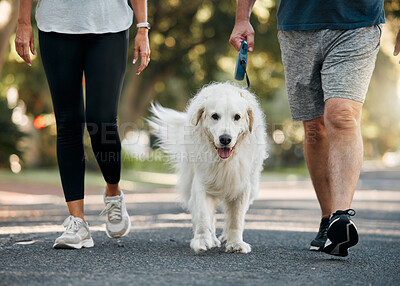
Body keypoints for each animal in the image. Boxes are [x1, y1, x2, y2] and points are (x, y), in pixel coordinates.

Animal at [148, 82, 268, 252]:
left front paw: (236, 243)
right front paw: (203, 240)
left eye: (237, 117)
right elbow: (204, 215)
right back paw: (212, 238)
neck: (224, 162)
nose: (225, 139)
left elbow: (236, 218)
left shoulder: (241, 185)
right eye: (215, 116)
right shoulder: (202, 182)